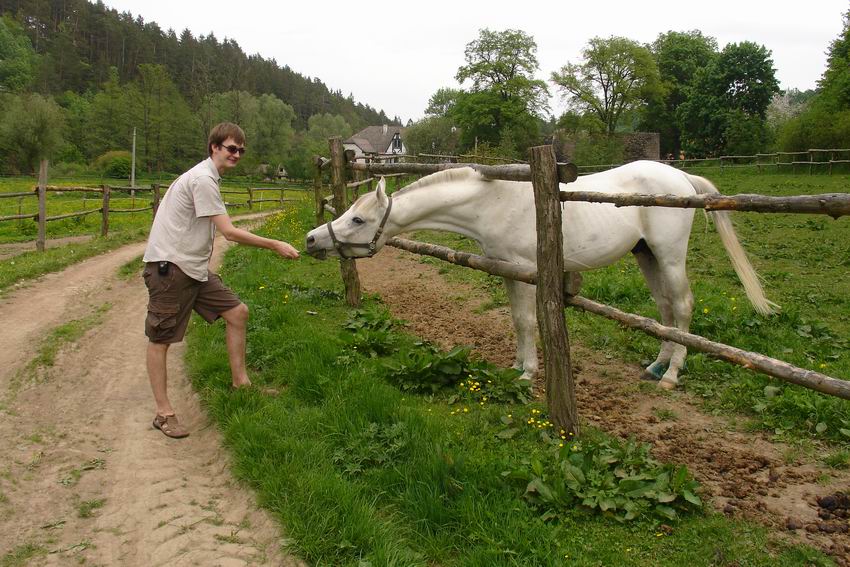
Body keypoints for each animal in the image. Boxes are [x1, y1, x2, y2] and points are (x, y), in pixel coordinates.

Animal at [304, 160, 776, 390]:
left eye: (359, 220)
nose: (311, 240)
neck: (492, 201)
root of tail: (681, 178)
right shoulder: (508, 272)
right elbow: (517, 321)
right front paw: (517, 364)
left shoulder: (527, 273)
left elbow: (530, 322)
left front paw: (529, 373)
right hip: (646, 255)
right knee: (664, 311)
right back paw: (656, 367)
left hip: (670, 254)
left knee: (682, 306)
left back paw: (673, 375)